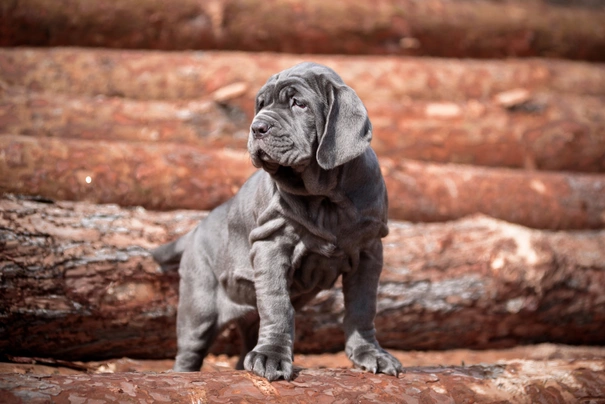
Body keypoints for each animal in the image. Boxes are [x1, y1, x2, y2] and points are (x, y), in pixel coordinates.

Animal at [152, 61, 402, 380]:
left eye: (299, 103)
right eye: (261, 105)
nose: (257, 127)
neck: (326, 198)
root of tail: (194, 231)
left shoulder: (369, 250)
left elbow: (362, 306)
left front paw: (371, 354)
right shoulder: (272, 244)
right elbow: (278, 305)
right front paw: (271, 356)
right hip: (199, 308)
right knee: (189, 351)